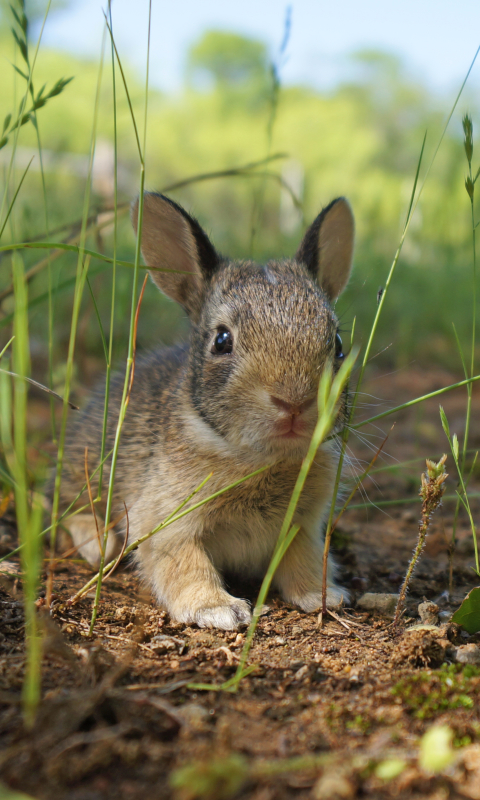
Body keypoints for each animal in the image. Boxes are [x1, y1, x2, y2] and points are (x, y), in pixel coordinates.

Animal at [58, 191, 354, 628]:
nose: (294, 402)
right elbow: (185, 562)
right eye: (222, 340)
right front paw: (218, 608)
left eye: (337, 344)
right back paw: (98, 544)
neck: (260, 457)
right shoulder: (166, 521)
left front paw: (322, 596)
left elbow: (301, 558)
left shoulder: (302, 526)